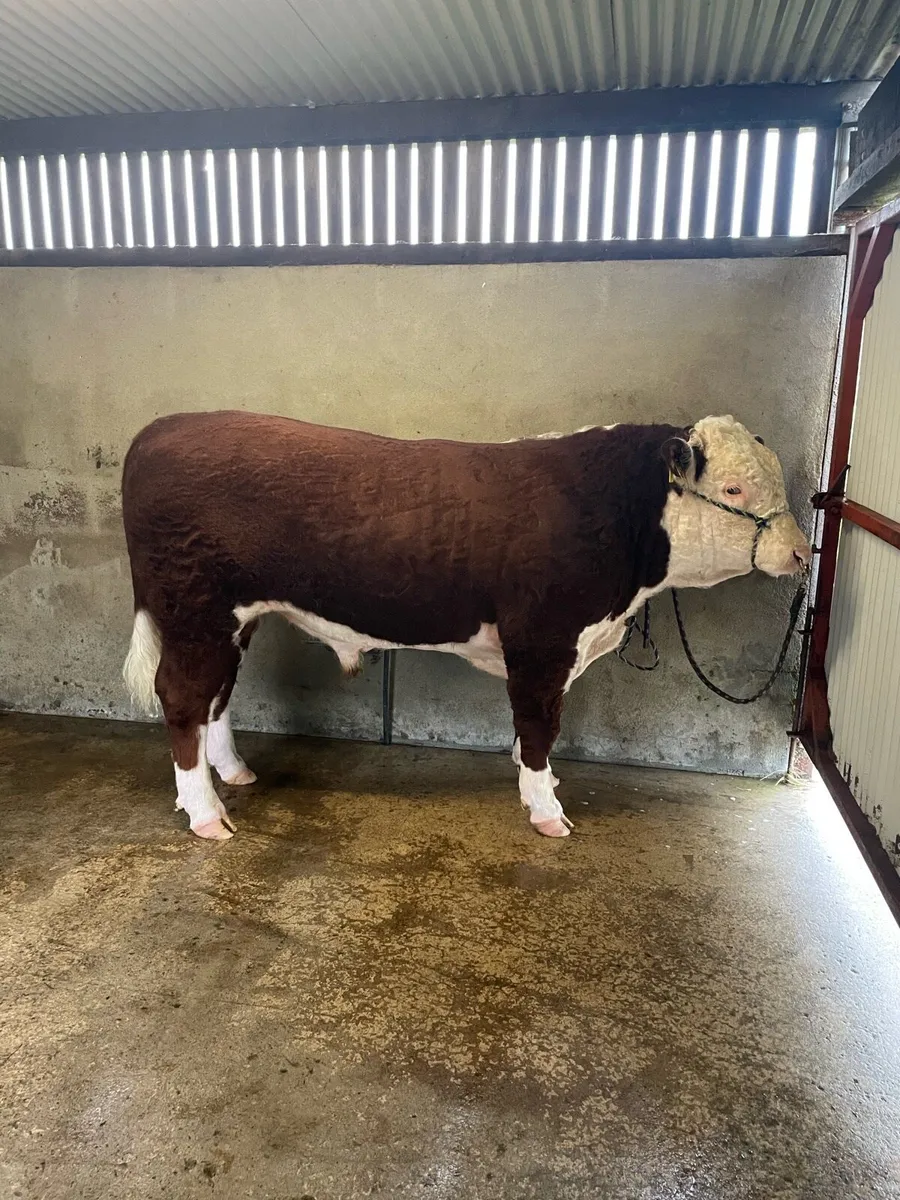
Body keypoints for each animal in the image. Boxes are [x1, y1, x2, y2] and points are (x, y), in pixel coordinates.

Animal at [121, 411, 811, 841]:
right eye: (733, 488)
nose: (802, 554)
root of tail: (161, 428)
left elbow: (535, 732)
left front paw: (540, 784)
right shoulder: (542, 639)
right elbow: (539, 724)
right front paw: (546, 809)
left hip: (233, 621)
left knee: (217, 697)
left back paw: (233, 773)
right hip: (194, 610)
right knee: (182, 699)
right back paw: (206, 814)